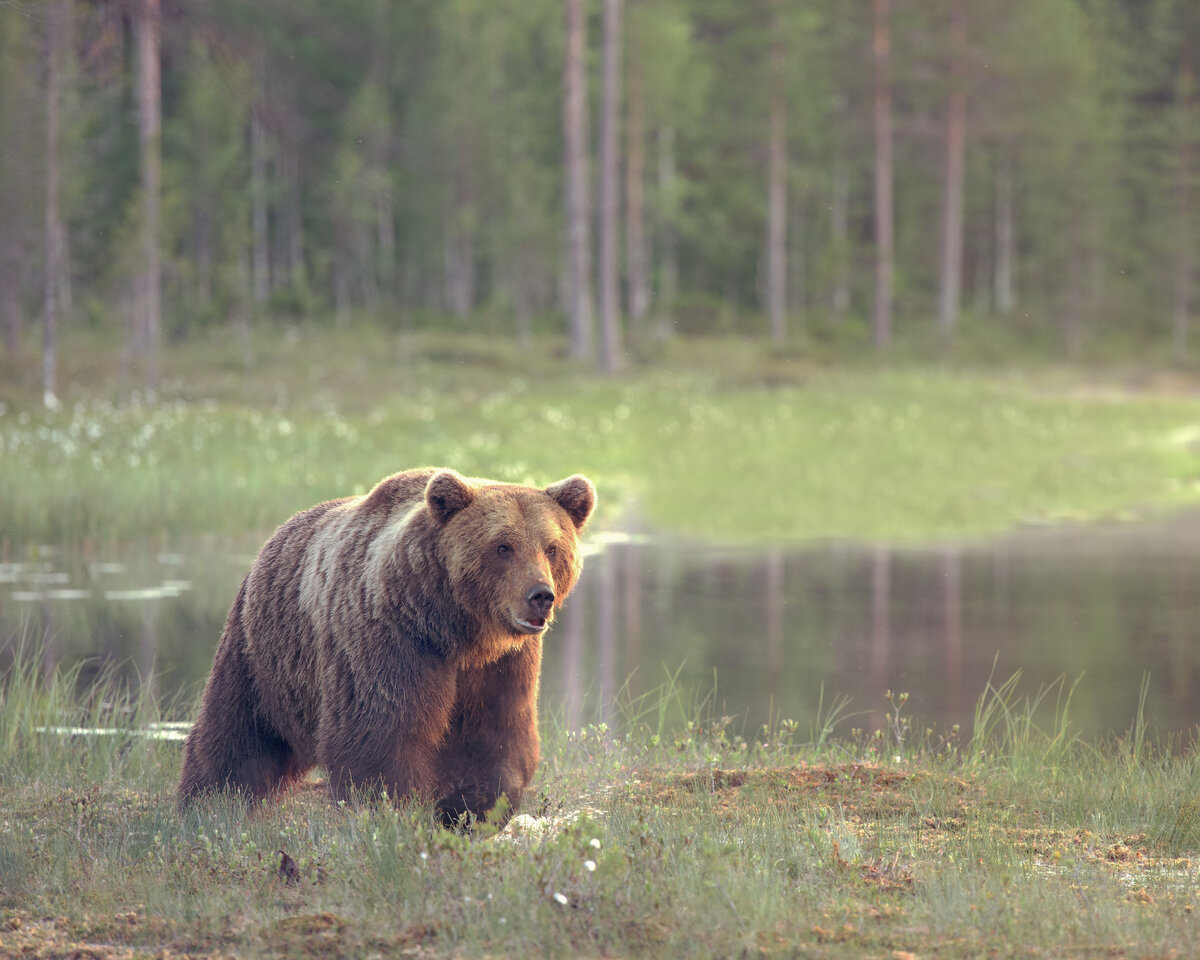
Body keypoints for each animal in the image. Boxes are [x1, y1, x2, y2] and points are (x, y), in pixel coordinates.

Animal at [176, 468, 595, 820]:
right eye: (503, 546)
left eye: (552, 547)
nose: (540, 596)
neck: (457, 630)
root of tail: (277, 533)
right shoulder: (394, 641)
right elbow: (379, 734)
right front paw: (393, 811)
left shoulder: (504, 664)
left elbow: (496, 737)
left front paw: (470, 810)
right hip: (264, 653)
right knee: (236, 731)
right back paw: (208, 804)